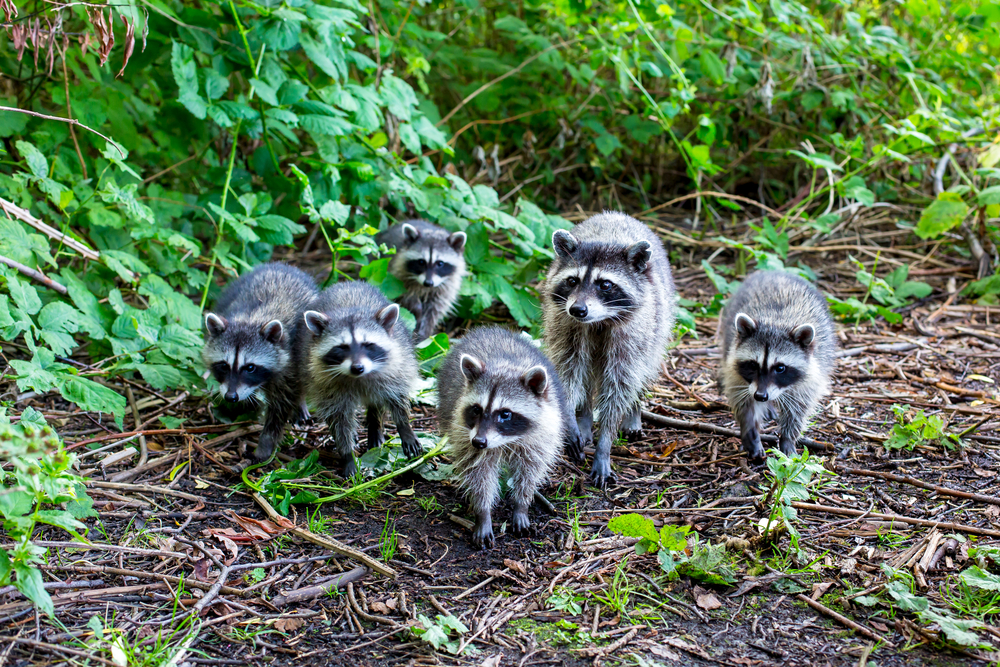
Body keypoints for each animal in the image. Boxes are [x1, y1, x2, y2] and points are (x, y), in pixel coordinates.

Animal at [200, 264, 316, 462]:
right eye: (224, 365)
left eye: (250, 368)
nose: (231, 397)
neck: (251, 318)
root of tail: (281, 265)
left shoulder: (289, 363)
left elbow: (280, 406)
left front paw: (265, 444)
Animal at [298, 280, 420, 478]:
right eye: (342, 347)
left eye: (368, 344)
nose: (357, 367)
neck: (358, 378)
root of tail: (347, 283)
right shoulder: (325, 384)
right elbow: (338, 420)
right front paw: (347, 454)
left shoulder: (397, 367)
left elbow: (397, 399)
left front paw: (405, 428)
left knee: (376, 401)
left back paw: (375, 426)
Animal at [440, 326, 580, 552]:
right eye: (476, 410)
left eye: (505, 414)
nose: (479, 442)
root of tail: (488, 329)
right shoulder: (465, 434)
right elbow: (478, 475)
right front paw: (483, 512)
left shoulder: (541, 434)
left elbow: (530, 471)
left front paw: (522, 505)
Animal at [544, 211, 676, 488]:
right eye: (572, 280)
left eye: (605, 284)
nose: (578, 310)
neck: (599, 321)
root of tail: (615, 214)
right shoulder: (565, 325)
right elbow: (568, 372)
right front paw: (571, 420)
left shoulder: (633, 333)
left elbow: (620, 385)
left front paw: (605, 444)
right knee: (584, 373)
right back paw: (584, 418)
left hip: (658, 324)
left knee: (643, 369)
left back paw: (634, 411)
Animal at [716, 268, 840, 462]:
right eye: (753, 365)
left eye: (780, 368)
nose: (761, 396)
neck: (776, 321)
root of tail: (773, 271)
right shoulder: (736, 370)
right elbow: (743, 402)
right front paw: (750, 432)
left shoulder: (811, 376)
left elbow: (798, 409)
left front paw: (788, 439)